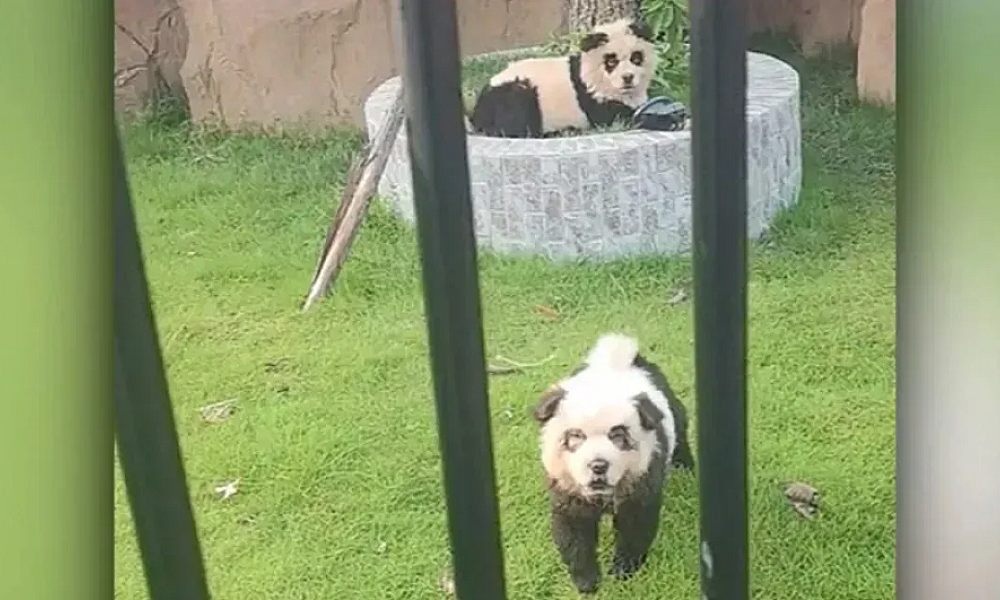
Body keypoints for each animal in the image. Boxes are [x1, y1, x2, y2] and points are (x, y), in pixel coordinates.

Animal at [468, 18, 658, 138]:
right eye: (611, 61)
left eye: (636, 58)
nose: (628, 78)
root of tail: (478, 111)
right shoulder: (593, 94)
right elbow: (615, 117)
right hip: (516, 91)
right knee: (513, 122)